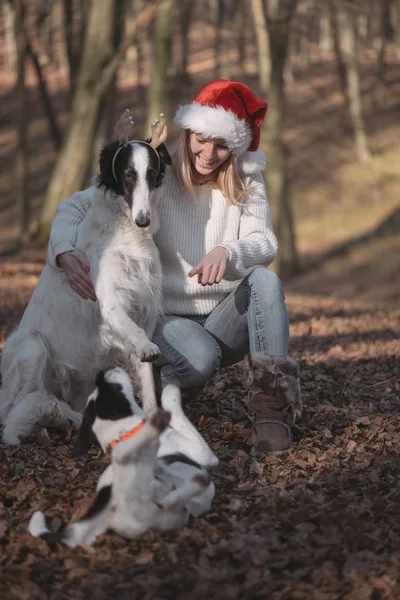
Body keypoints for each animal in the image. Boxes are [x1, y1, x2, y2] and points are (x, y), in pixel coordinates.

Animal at [0, 111, 170, 446]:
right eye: (127, 175)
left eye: (151, 173)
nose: (143, 220)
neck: (127, 234)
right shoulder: (112, 303)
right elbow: (138, 340)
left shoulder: (145, 309)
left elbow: (146, 376)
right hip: (33, 348)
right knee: (12, 412)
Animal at [28, 366, 219, 548]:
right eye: (113, 387)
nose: (107, 369)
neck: (125, 433)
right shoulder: (203, 453)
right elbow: (180, 419)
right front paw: (170, 394)